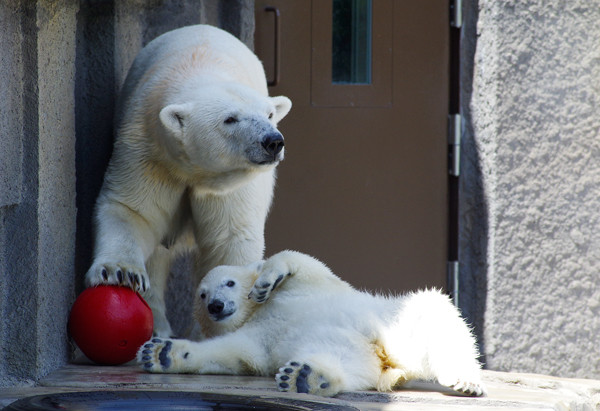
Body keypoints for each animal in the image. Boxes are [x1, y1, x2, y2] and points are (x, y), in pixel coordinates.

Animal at [84, 24, 290, 336]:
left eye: (268, 114)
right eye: (230, 119)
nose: (272, 142)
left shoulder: (230, 186)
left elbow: (228, 239)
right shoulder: (149, 150)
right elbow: (133, 210)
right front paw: (120, 273)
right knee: (157, 256)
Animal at [138, 249, 486, 398]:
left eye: (229, 283)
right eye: (202, 294)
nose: (215, 305)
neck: (257, 313)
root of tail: (389, 358)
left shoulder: (311, 286)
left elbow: (301, 261)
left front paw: (264, 281)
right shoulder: (257, 337)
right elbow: (233, 353)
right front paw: (161, 353)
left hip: (398, 320)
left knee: (437, 314)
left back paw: (465, 379)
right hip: (357, 356)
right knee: (342, 362)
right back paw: (308, 377)